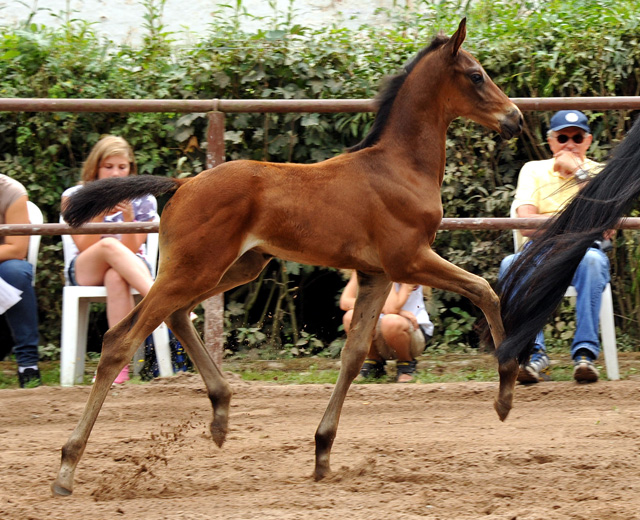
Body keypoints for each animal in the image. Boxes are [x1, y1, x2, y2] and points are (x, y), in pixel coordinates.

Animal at [53, 17, 524, 496]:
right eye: (476, 75)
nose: (516, 119)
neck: (399, 167)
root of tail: (183, 184)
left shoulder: (375, 273)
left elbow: (354, 354)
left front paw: (322, 452)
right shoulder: (407, 259)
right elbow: (485, 290)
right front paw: (506, 391)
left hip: (233, 267)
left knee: (176, 316)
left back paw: (220, 414)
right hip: (196, 269)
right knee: (120, 340)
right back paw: (67, 467)